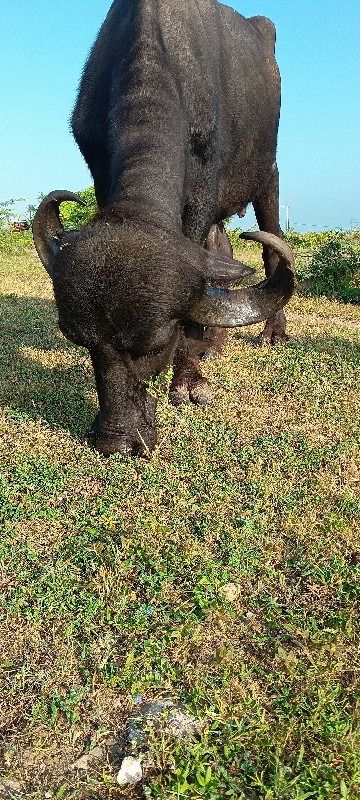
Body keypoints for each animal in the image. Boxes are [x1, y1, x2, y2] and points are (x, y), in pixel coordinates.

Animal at [33, 0, 296, 456]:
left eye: (154, 346)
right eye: (78, 340)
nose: (115, 441)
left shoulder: (206, 183)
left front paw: (188, 382)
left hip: (268, 175)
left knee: (267, 246)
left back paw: (269, 335)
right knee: (221, 250)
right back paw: (213, 345)